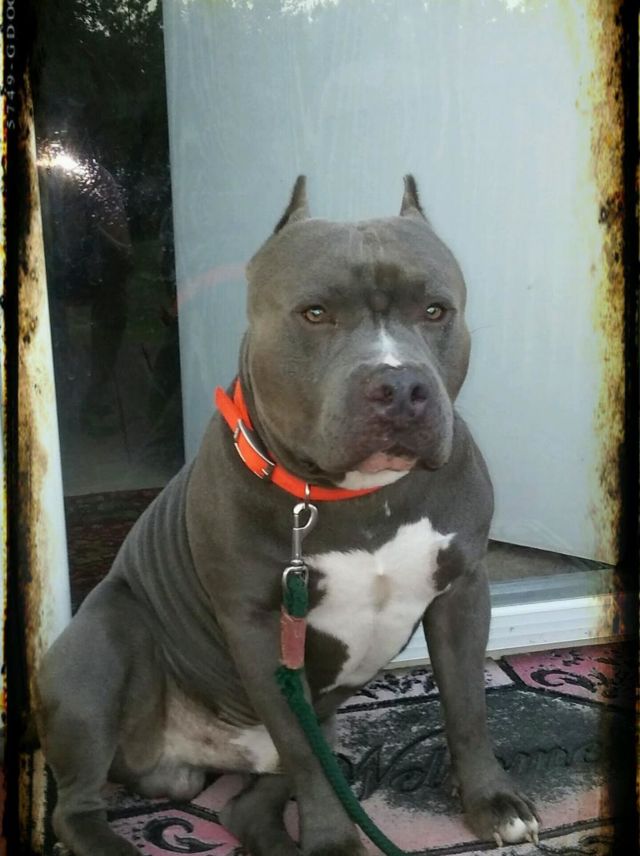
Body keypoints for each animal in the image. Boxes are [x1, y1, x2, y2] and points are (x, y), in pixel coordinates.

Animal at [36, 176, 539, 855]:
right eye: (315, 313)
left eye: (435, 310)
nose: (400, 386)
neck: (358, 497)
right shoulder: (260, 629)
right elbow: (306, 759)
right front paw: (330, 842)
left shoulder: (462, 593)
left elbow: (467, 707)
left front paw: (492, 800)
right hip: (101, 645)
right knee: (75, 806)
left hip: (318, 724)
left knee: (247, 807)